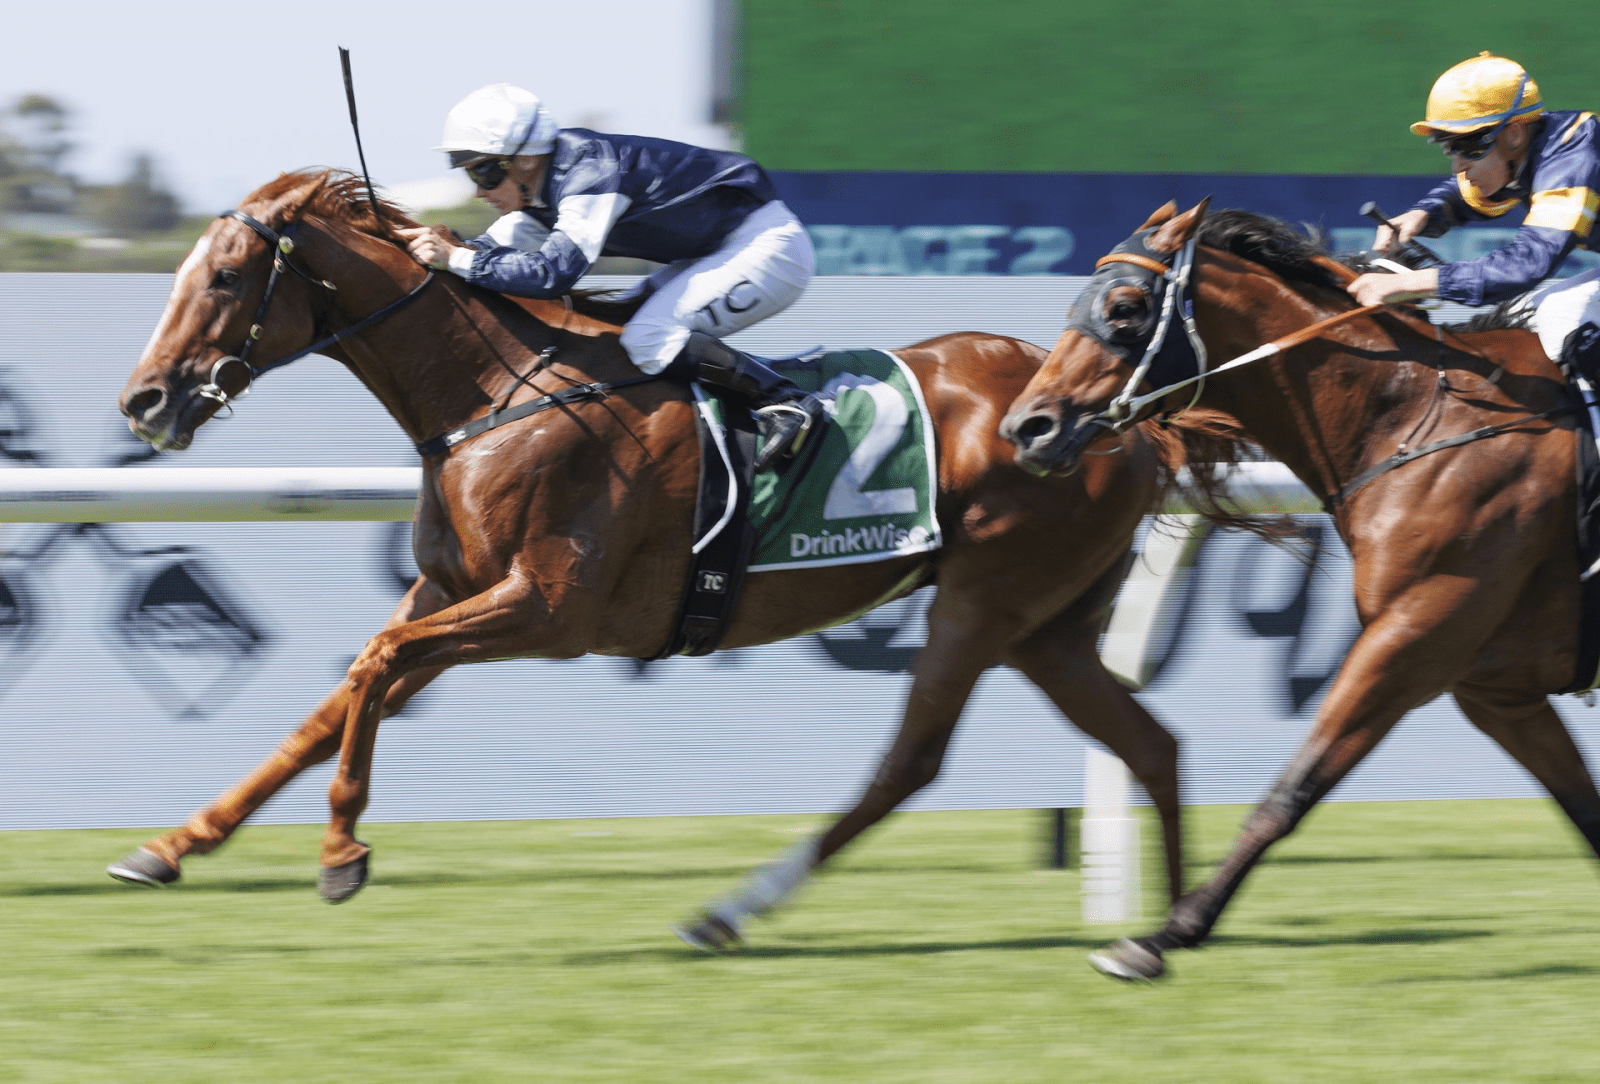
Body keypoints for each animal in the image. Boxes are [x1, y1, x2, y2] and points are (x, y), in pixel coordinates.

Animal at [116, 171, 1190, 952]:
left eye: (223, 278)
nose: (144, 401)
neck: (500, 389)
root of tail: (1120, 420)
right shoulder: (449, 590)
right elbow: (340, 701)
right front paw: (171, 848)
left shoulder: (547, 610)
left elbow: (375, 671)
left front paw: (341, 852)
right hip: (1049, 627)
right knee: (1149, 744)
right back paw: (1174, 924)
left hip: (984, 598)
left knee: (912, 761)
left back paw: (734, 911)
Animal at [998, 201, 1600, 984]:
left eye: (1125, 307)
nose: (1027, 427)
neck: (1416, 416)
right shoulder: (1497, 689)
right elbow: (1585, 809)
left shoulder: (1413, 637)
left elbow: (1292, 788)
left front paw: (1161, 936)